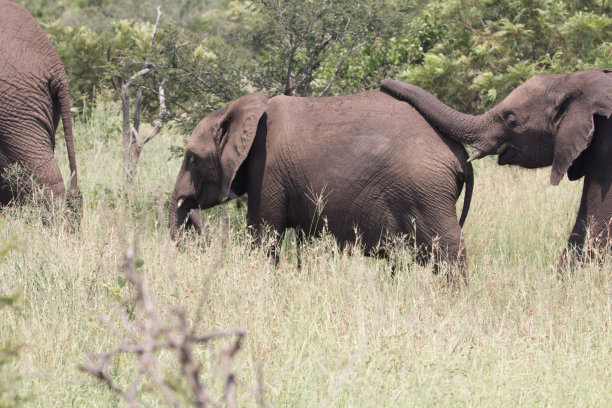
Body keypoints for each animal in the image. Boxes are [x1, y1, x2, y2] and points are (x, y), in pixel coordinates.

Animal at [170, 88, 476, 274]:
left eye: (192, 159)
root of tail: (461, 154)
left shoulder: (267, 171)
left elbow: (264, 235)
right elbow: (304, 243)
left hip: (428, 192)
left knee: (449, 250)